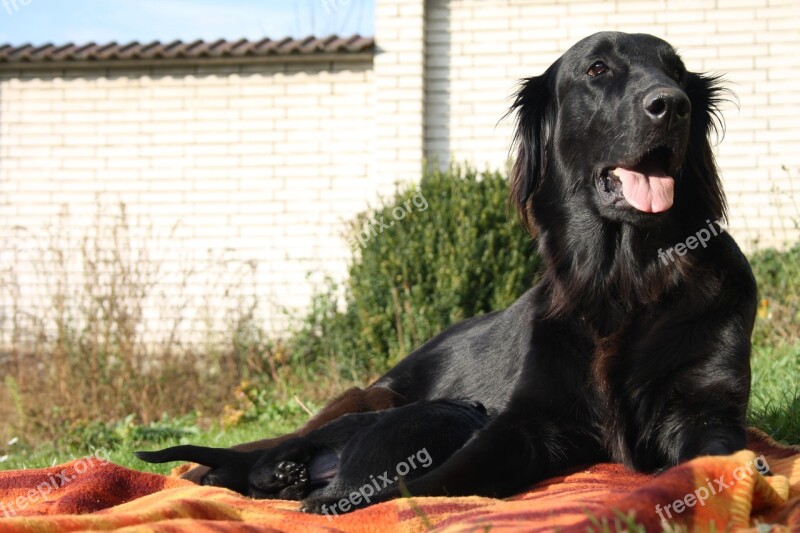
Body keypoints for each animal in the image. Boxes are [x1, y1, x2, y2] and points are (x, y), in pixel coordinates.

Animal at [172, 32, 752, 512]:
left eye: (676, 72)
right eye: (597, 69)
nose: (671, 105)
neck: (623, 279)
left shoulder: (708, 410)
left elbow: (710, 462)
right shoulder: (526, 419)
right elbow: (450, 474)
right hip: (370, 395)